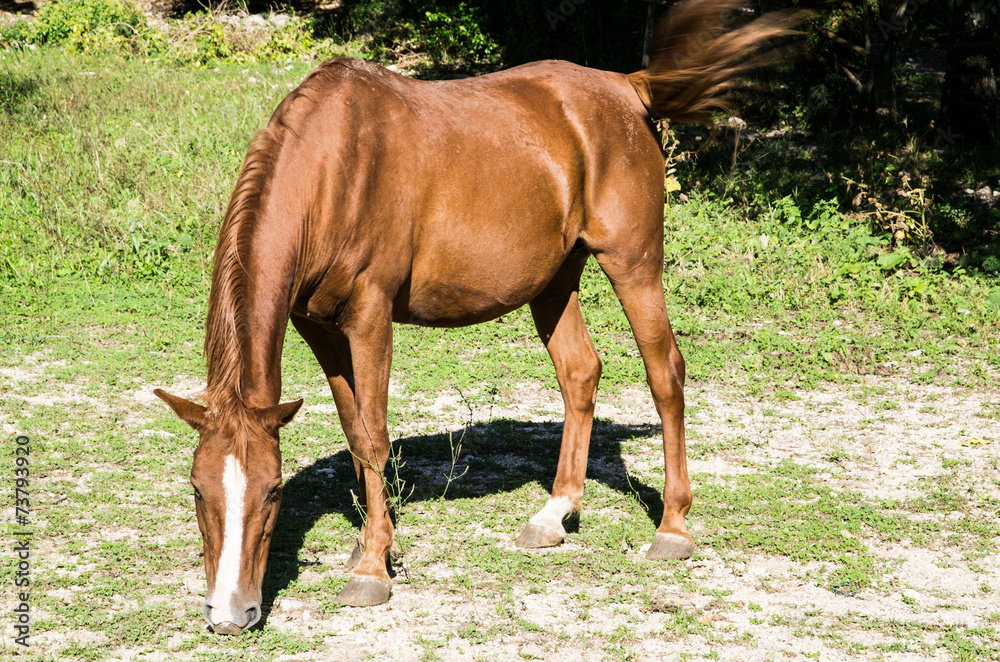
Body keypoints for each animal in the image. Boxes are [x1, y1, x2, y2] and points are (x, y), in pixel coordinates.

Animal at [155, 0, 799, 635]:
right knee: (580, 372)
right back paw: (554, 514)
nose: (230, 614)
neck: (335, 168)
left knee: (665, 373)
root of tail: (626, 87)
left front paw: (372, 567)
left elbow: (376, 436)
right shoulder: (315, 324)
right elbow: (355, 430)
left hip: (633, 264)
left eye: (272, 492)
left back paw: (672, 527)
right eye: (197, 490)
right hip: (555, 280)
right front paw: (373, 542)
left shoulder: (370, 316)